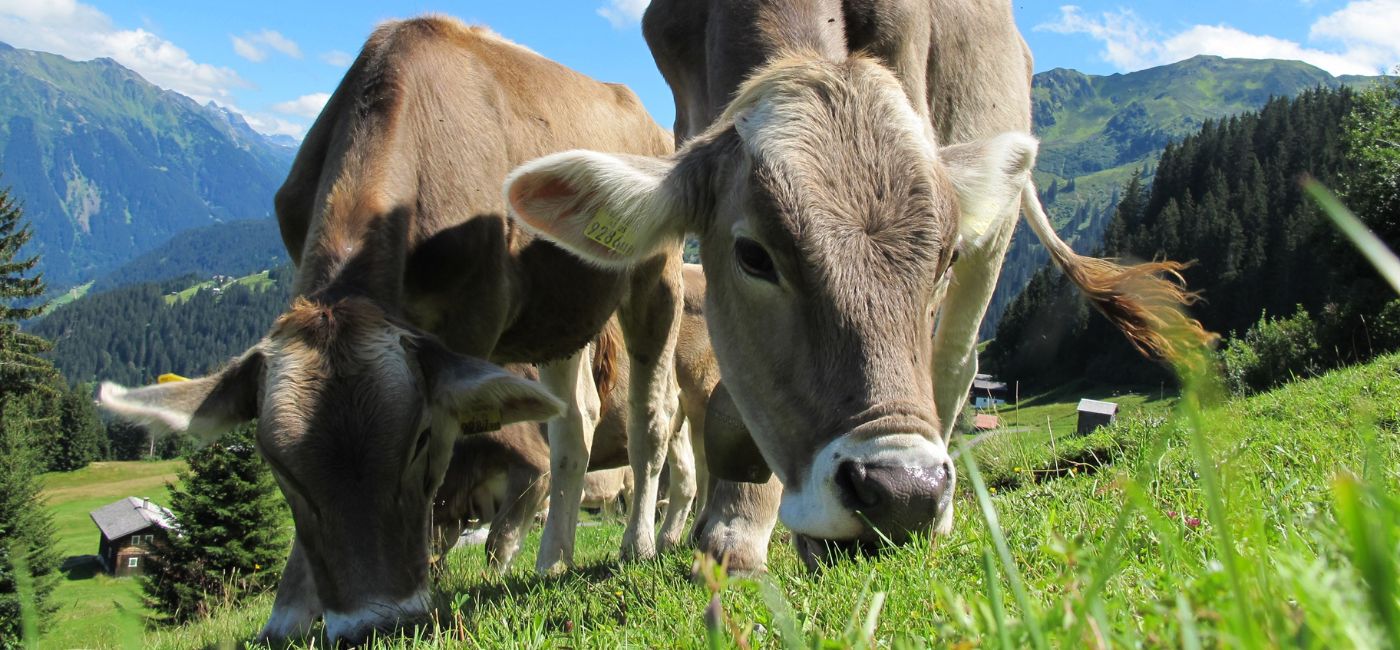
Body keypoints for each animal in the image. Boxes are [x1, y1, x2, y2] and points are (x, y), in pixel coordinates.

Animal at [93, 16, 677, 644]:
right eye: (277, 465)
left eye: (418, 438)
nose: (376, 623)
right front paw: (289, 614)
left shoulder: (471, 322)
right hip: (559, 315)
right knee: (576, 421)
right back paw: (554, 559)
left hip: (655, 275)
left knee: (652, 415)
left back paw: (638, 544)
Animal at [501, 0, 1204, 568]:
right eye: (753, 255)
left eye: (943, 256)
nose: (904, 494)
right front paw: (734, 526)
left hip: (997, 226)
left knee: (955, 360)